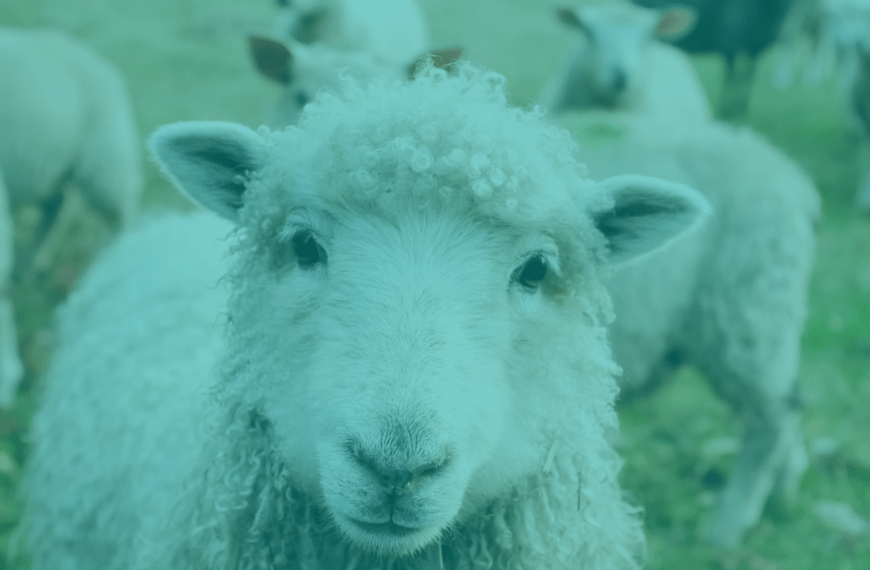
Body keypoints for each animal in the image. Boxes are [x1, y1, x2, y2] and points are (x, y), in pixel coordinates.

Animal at [561, 110, 820, 547]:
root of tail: (791, 177)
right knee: (790, 400)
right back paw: (784, 491)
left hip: (745, 310)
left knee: (774, 415)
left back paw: (728, 527)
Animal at [632, 0, 796, 119]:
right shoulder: (731, 44)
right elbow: (732, 79)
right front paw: (728, 111)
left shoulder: (755, 49)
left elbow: (747, 79)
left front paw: (741, 110)